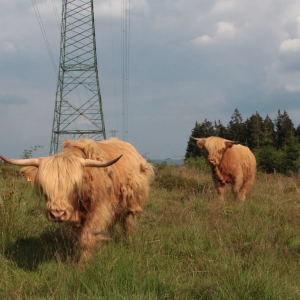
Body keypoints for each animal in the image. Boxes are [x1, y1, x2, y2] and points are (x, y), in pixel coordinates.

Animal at [0, 138, 154, 262]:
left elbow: (87, 238)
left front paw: (83, 265)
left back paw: (128, 242)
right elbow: (75, 238)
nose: (57, 214)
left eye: (74, 184)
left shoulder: (99, 210)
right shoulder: (74, 216)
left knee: (128, 224)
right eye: (43, 186)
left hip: (132, 203)